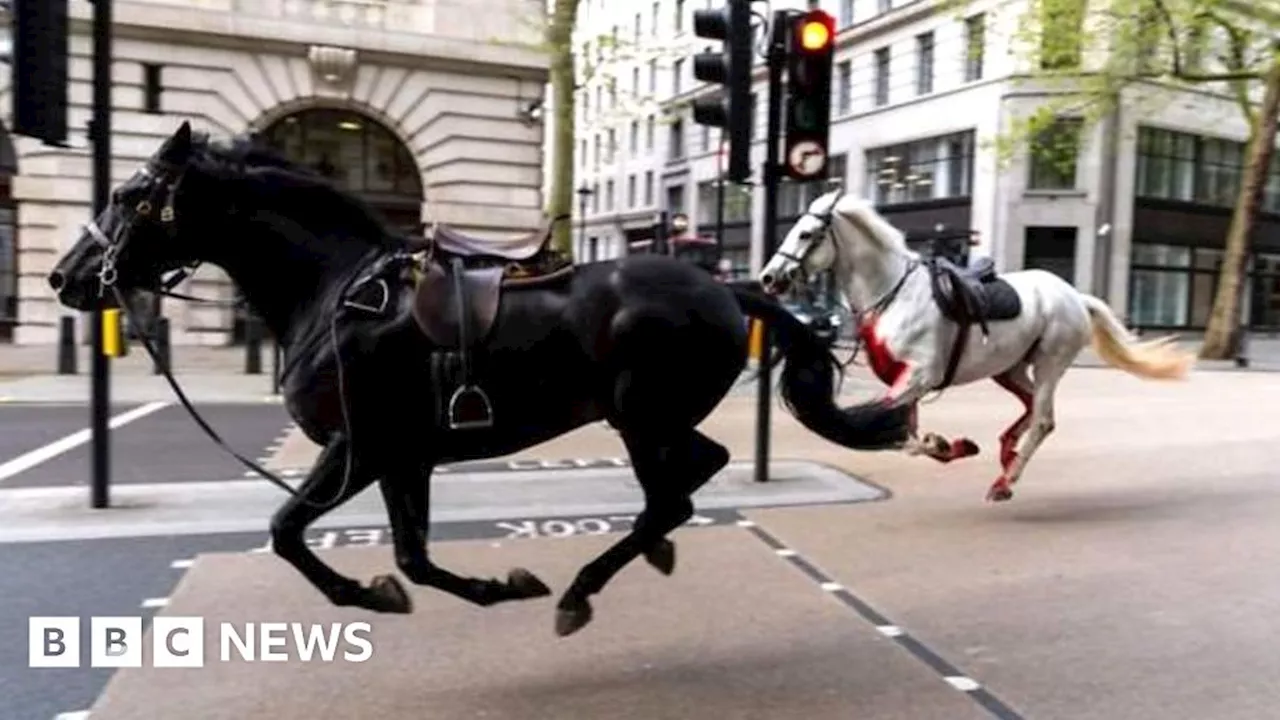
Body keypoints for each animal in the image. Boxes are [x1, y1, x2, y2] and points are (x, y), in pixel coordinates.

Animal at [49, 122, 911, 632]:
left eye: (129, 194)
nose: (66, 277)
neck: (334, 291)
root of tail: (729, 290)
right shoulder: (403, 457)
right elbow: (411, 557)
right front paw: (480, 587)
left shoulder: (359, 448)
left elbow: (289, 531)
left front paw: (371, 593)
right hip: (655, 418)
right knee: (694, 476)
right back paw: (644, 554)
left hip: (640, 418)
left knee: (673, 494)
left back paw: (582, 590)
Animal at [757, 189, 1187, 499]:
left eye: (806, 233)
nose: (768, 277)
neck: (894, 293)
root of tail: (1075, 297)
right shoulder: (906, 382)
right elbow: (904, 434)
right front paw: (950, 445)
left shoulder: (919, 376)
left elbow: (880, 429)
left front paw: (948, 444)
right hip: (1010, 368)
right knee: (1030, 407)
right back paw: (1006, 454)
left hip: (1050, 362)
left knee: (1043, 420)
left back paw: (1005, 482)